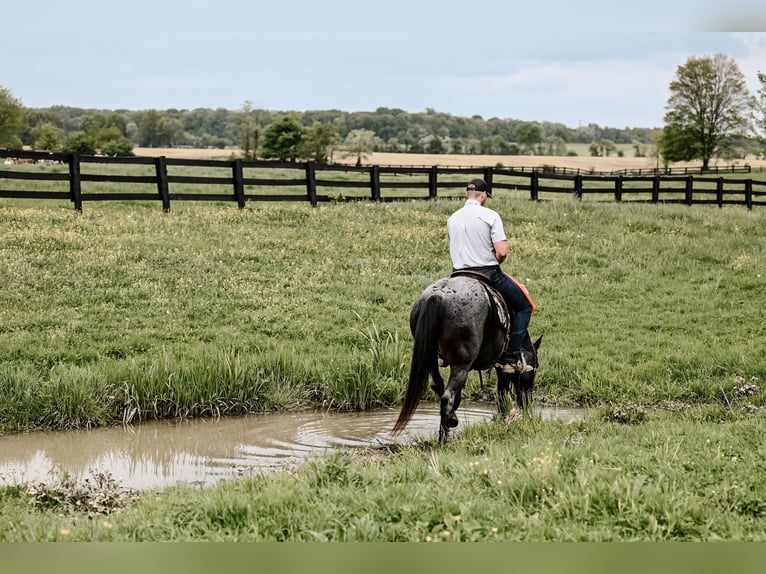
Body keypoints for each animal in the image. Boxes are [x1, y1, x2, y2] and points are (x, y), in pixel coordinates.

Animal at [392, 276, 544, 444]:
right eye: (536, 368)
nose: (527, 402)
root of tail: (438, 295)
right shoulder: (504, 369)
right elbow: (502, 395)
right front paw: (505, 422)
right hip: (461, 365)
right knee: (447, 397)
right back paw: (443, 439)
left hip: (432, 358)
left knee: (438, 385)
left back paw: (449, 422)